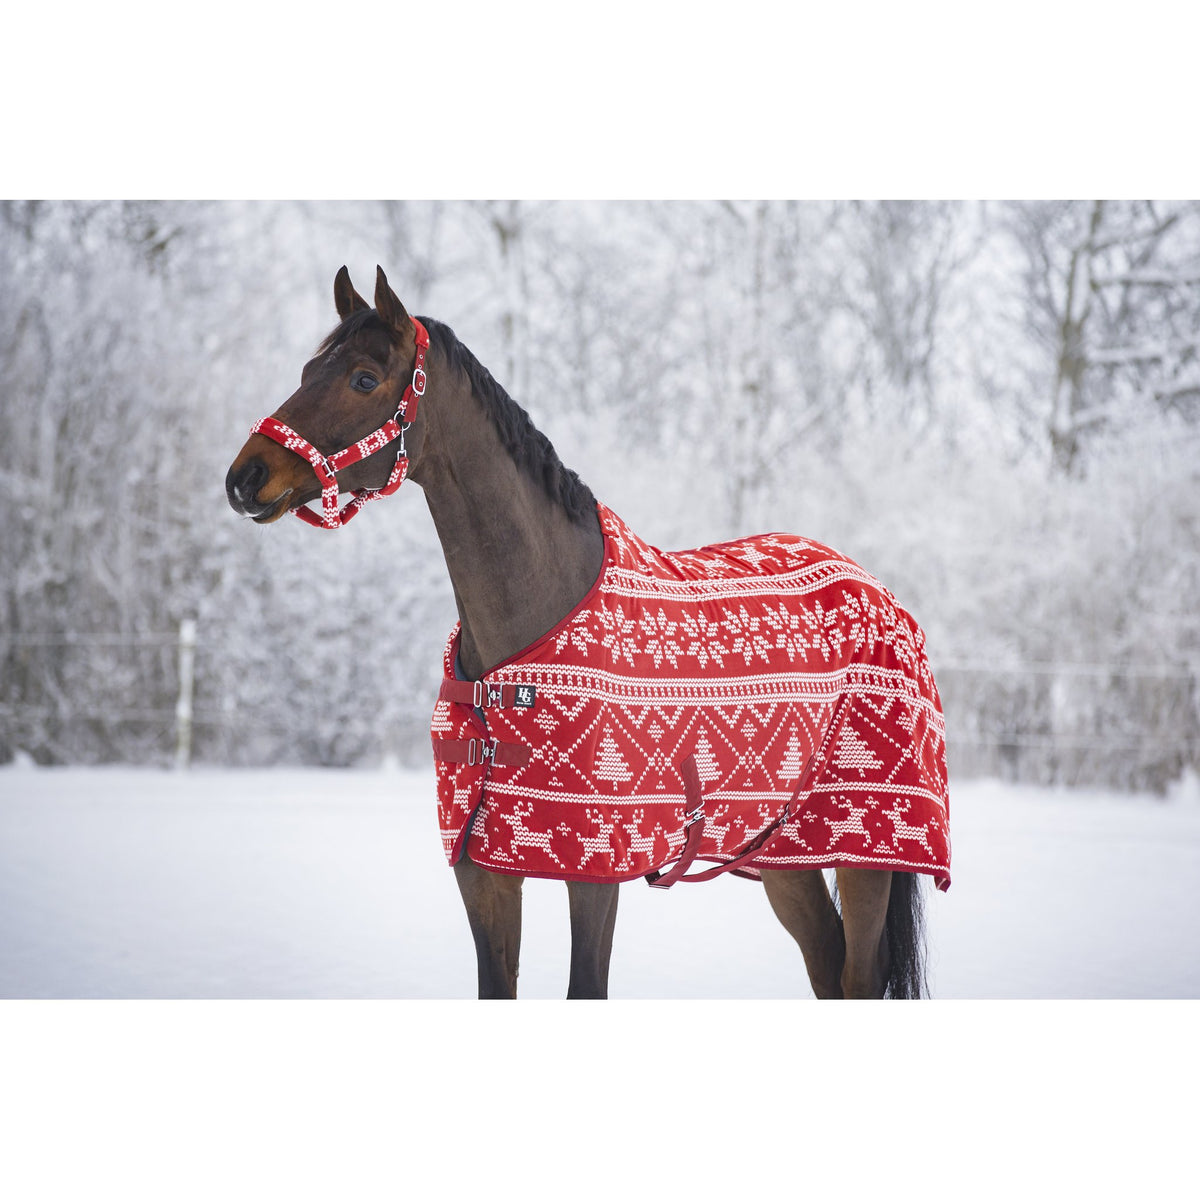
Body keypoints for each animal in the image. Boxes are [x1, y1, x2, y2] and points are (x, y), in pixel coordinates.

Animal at [226, 265, 951, 999]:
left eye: (364, 378)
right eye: (308, 368)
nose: (246, 477)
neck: (526, 638)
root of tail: (880, 592)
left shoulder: (597, 873)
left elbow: (586, 985)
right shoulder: (482, 873)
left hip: (865, 850)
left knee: (858, 977)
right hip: (783, 855)